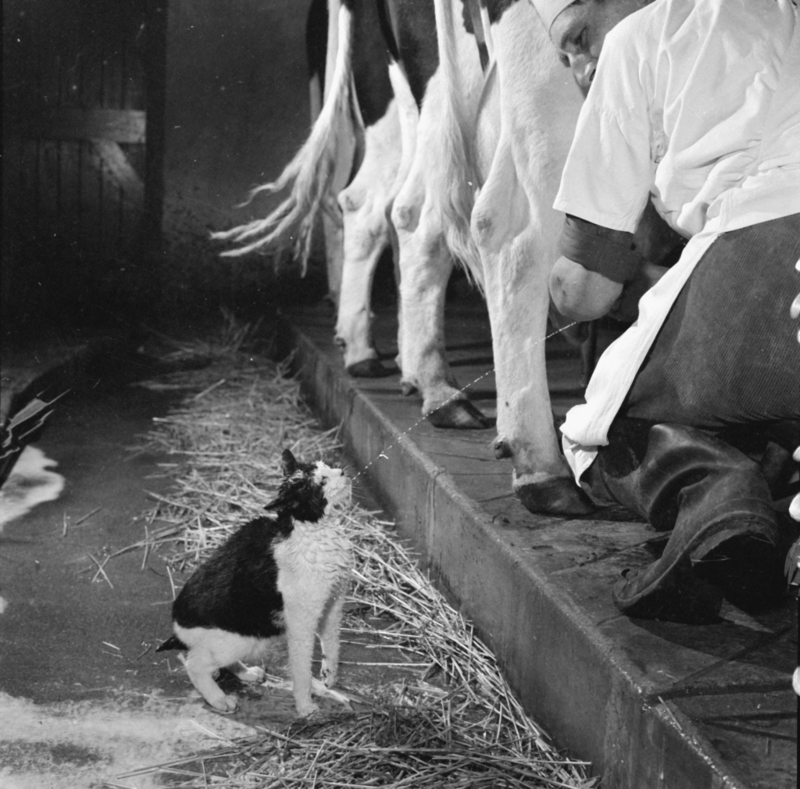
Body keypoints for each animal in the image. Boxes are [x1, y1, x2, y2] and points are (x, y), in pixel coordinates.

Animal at [158, 450, 352, 716]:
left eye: (327, 466)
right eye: (321, 482)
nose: (342, 471)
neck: (313, 530)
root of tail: (177, 627)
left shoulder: (332, 603)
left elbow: (332, 644)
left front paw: (329, 677)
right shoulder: (301, 621)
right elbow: (301, 667)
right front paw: (305, 707)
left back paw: (248, 674)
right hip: (237, 640)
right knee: (194, 664)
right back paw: (220, 700)